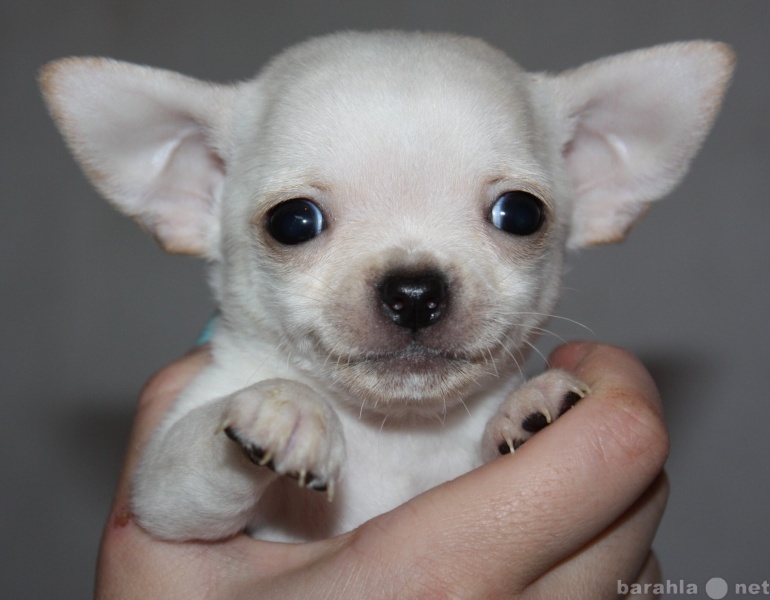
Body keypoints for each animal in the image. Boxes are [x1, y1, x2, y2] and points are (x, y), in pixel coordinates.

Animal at [40, 30, 732, 540]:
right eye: (293, 222)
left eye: (520, 214)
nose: (415, 292)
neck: (396, 434)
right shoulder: (162, 499)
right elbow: (189, 466)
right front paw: (289, 409)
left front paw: (527, 406)